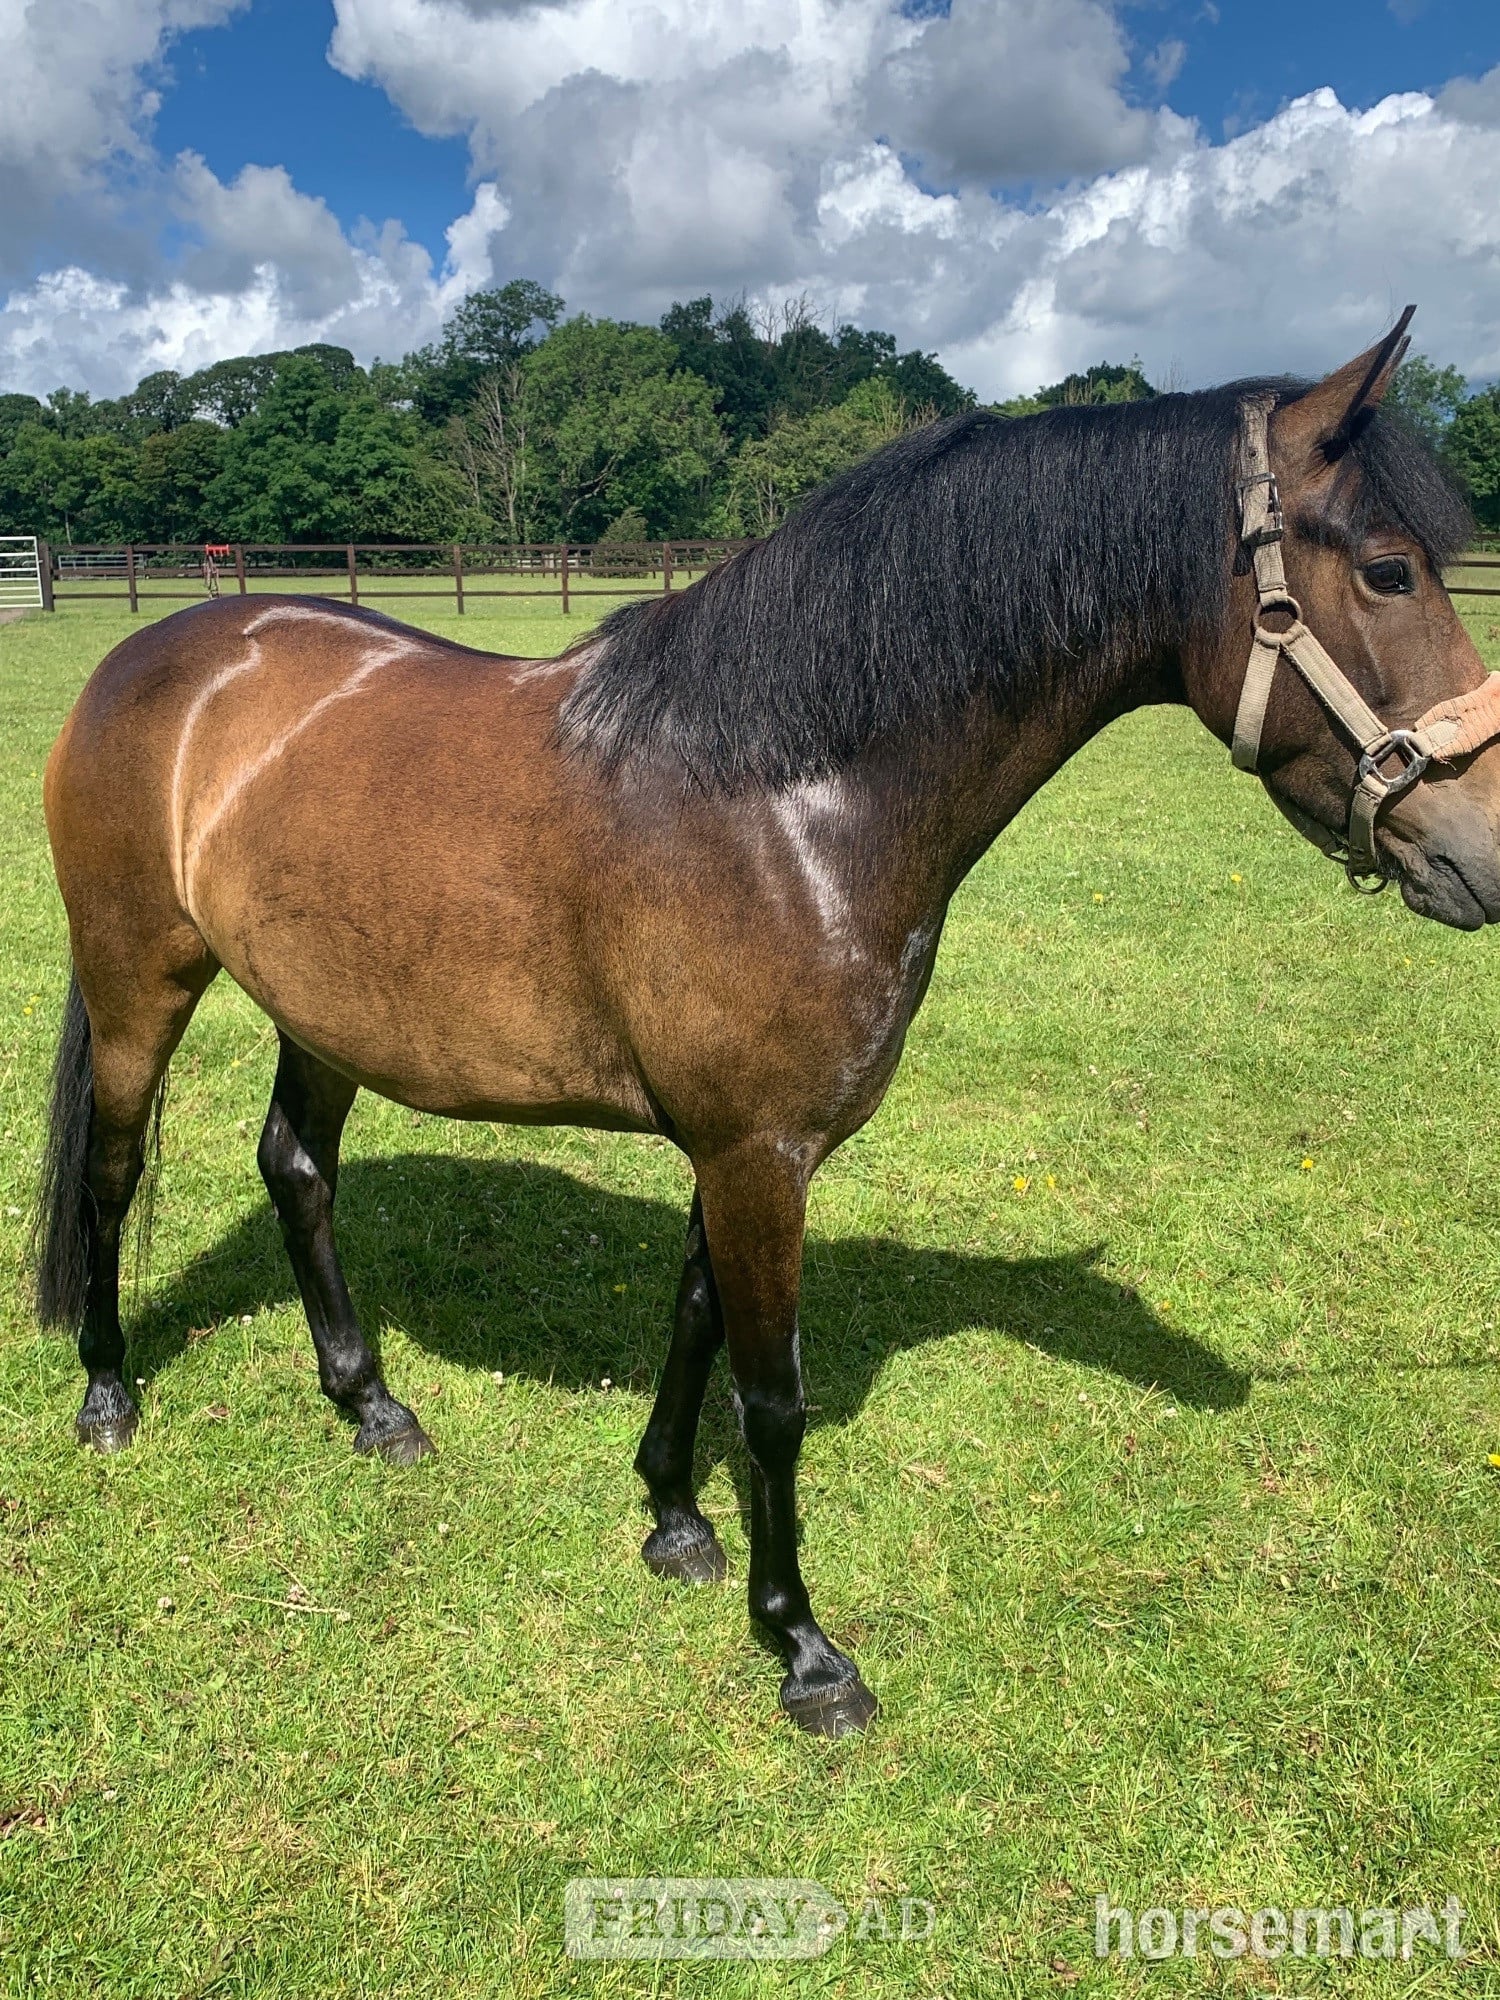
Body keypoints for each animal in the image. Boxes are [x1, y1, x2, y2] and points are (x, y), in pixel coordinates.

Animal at [33, 311, 1500, 1736]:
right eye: (1387, 571)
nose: (1480, 849)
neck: (785, 797)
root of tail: (156, 652)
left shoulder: (738, 1147)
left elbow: (695, 1322)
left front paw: (675, 1522)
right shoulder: (755, 1155)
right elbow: (775, 1396)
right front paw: (803, 1648)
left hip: (326, 1013)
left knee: (295, 1170)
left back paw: (371, 1403)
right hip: (137, 981)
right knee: (111, 1174)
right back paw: (108, 1395)